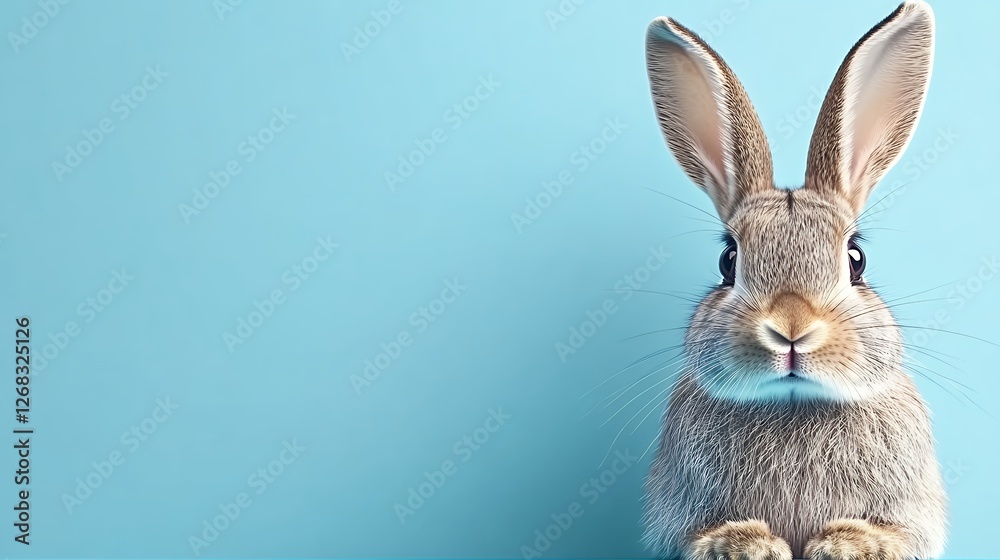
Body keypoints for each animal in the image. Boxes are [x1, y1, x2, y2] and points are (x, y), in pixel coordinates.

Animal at [641, 2, 946, 559]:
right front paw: (745, 545)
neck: (794, 403)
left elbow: (895, 534)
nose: (791, 327)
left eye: (856, 259)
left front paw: (849, 543)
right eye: (727, 260)